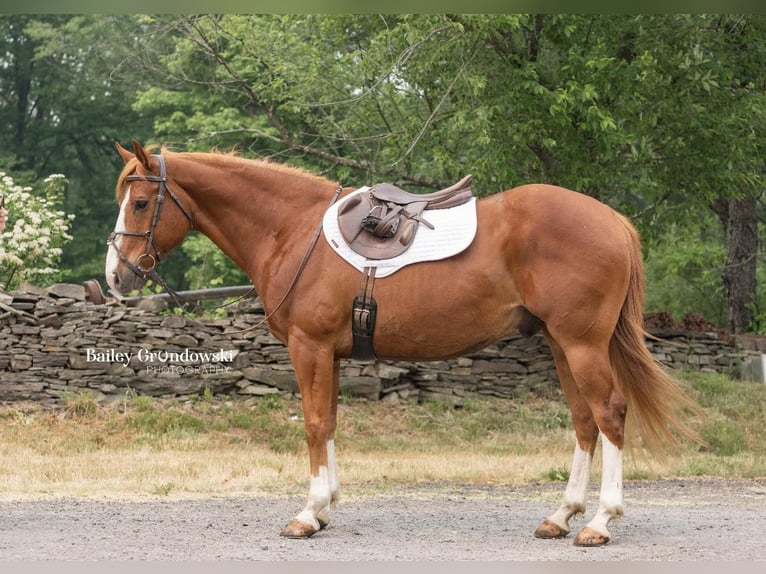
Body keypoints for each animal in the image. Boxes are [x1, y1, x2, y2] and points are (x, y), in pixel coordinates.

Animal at [106, 141, 704, 548]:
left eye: (140, 203)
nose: (116, 275)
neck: (292, 230)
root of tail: (613, 220)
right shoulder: (329, 354)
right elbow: (330, 422)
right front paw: (327, 508)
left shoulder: (309, 347)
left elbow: (314, 424)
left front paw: (308, 513)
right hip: (560, 343)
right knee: (584, 420)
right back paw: (561, 516)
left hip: (582, 343)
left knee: (610, 413)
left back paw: (600, 522)